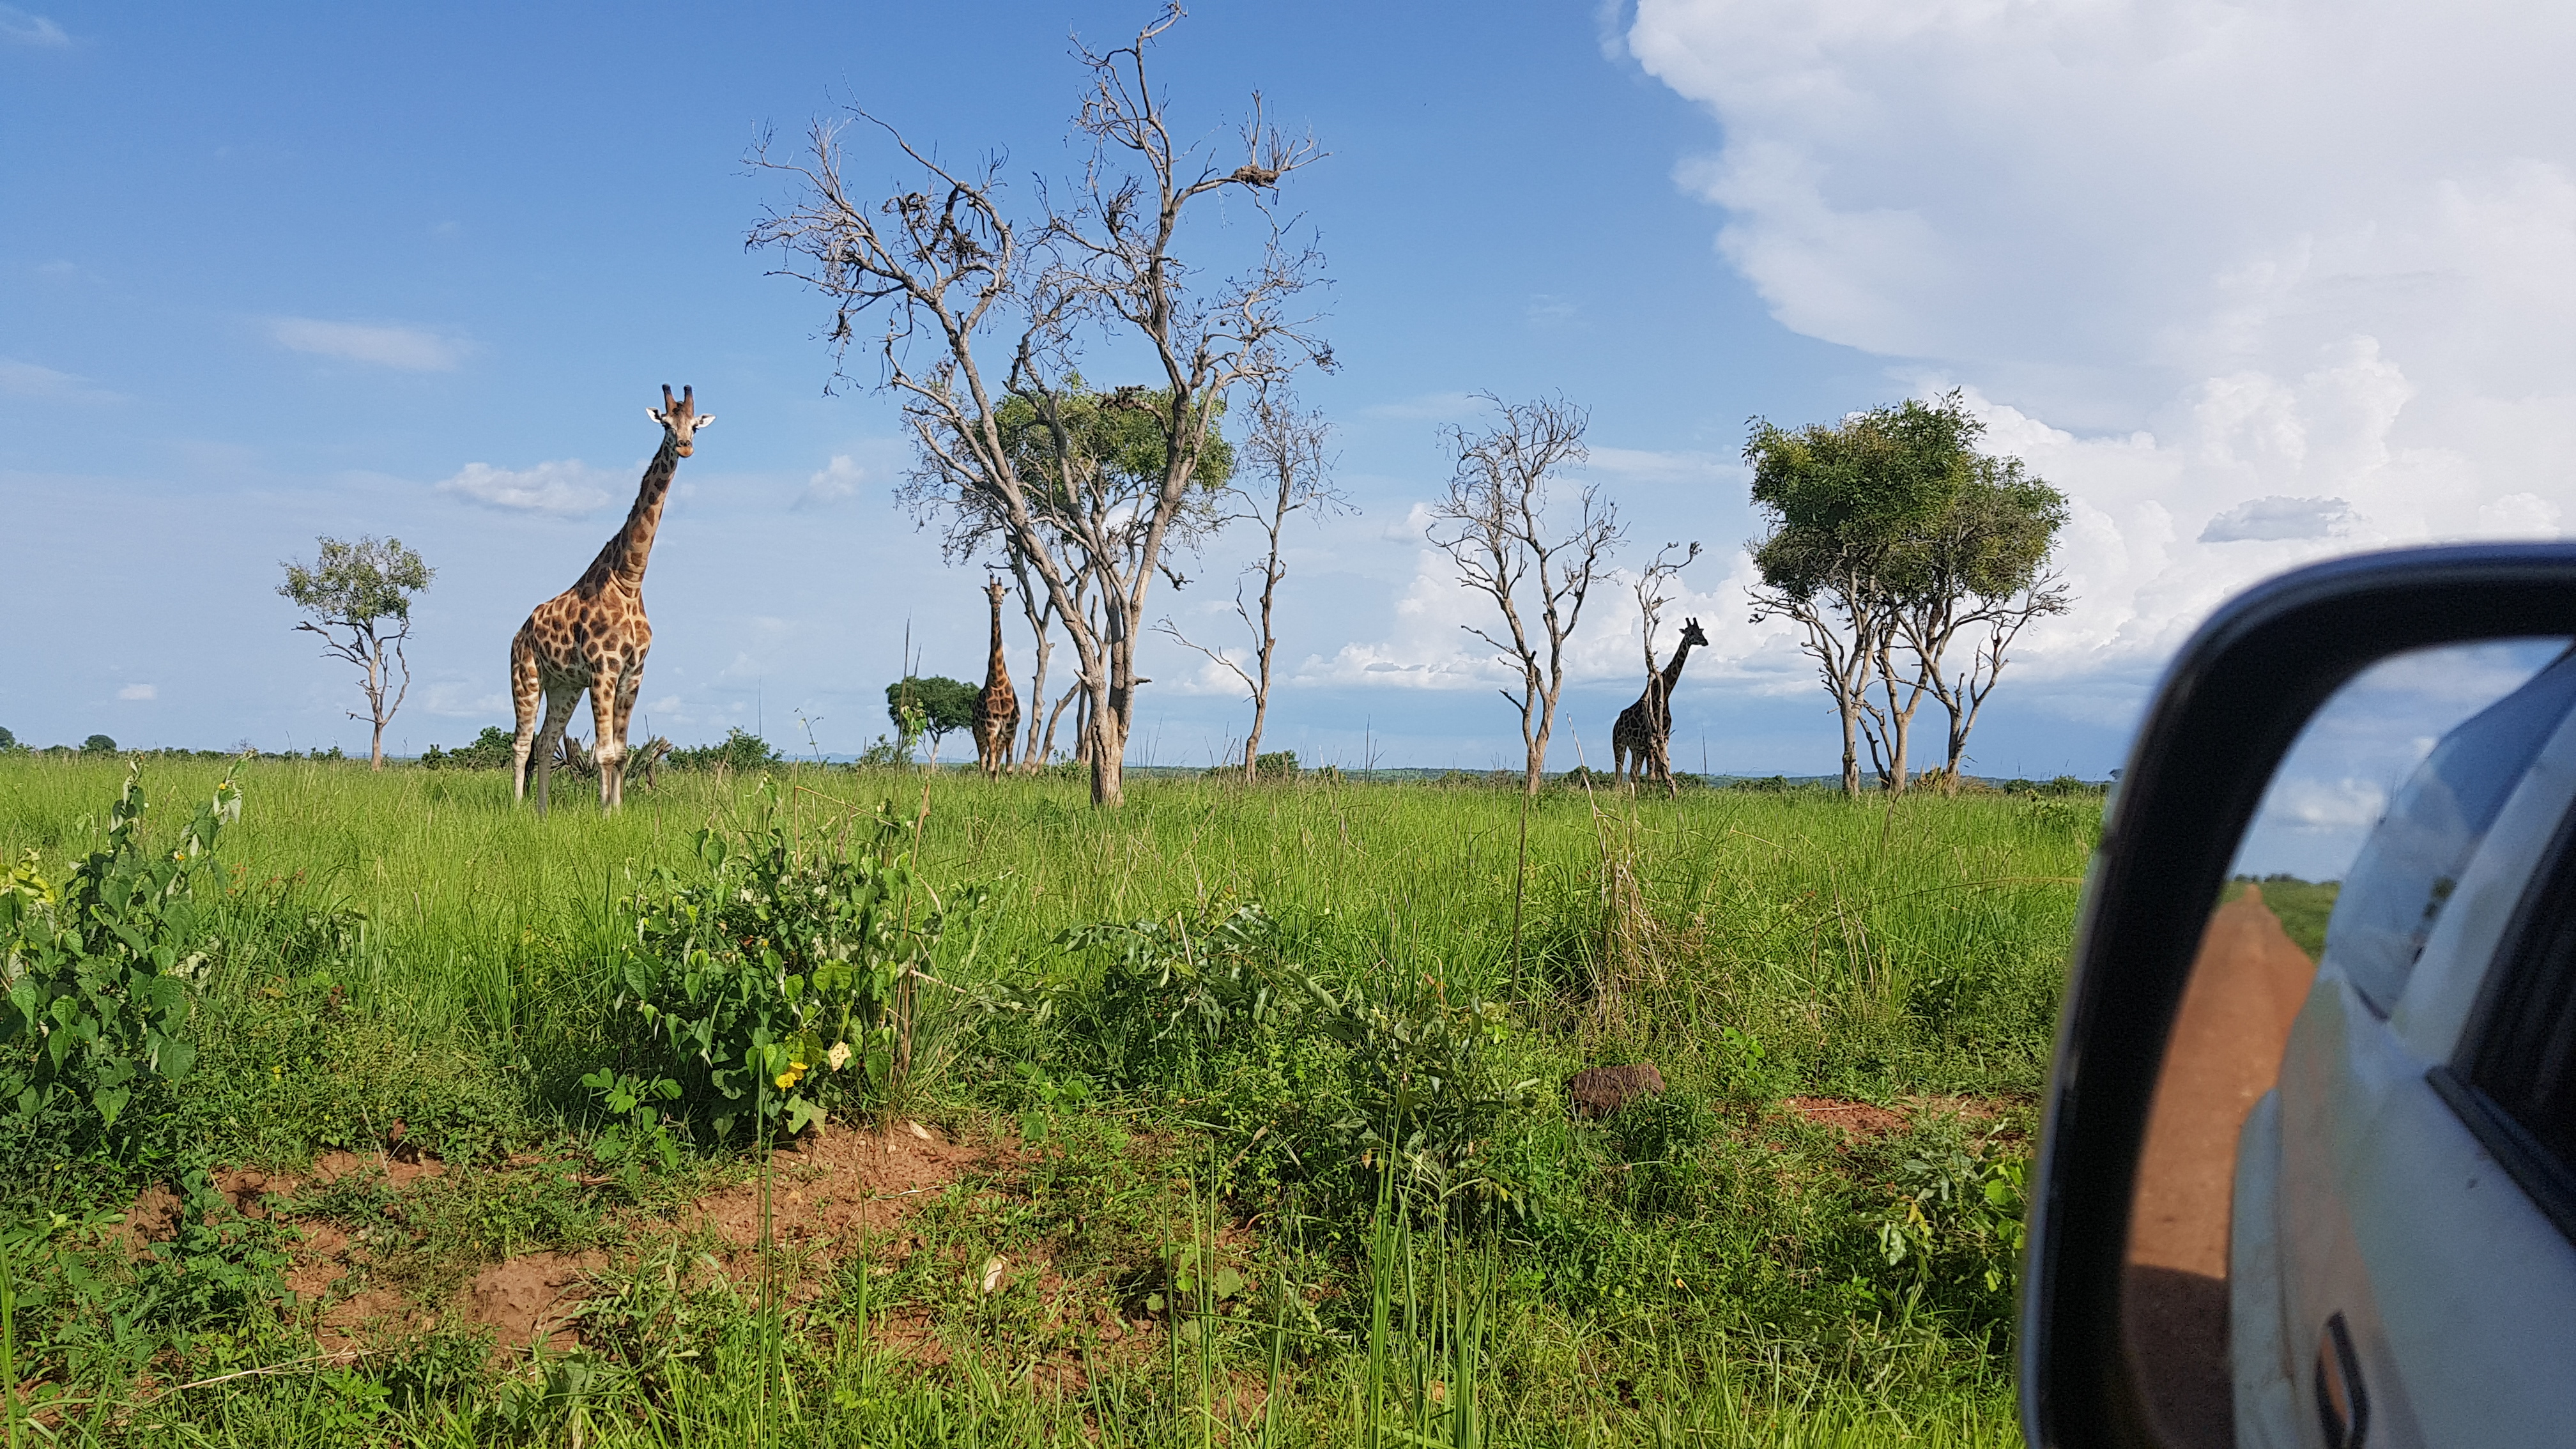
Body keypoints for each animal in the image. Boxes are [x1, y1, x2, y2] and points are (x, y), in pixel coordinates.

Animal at [509, 385, 713, 815]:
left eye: (694, 426)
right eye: (666, 425)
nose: (685, 447)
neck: (630, 580)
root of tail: (518, 634)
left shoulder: (633, 673)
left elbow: (621, 752)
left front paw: (616, 810)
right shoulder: (604, 668)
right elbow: (604, 752)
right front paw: (605, 813)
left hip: (564, 686)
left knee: (545, 741)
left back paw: (542, 811)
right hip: (526, 676)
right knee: (521, 743)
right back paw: (518, 808)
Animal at [1612, 616, 1709, 791]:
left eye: (1701, 631)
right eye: (1691, 633)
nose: (1705, 642)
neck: (1664, 694)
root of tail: (1616, 723)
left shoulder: (1664, 739)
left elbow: (1659, 772)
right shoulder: (1651, 740)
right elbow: (1652, 776)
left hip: (1637, 749)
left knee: (1633, 774)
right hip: (1619, 743)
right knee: (1619, 772)